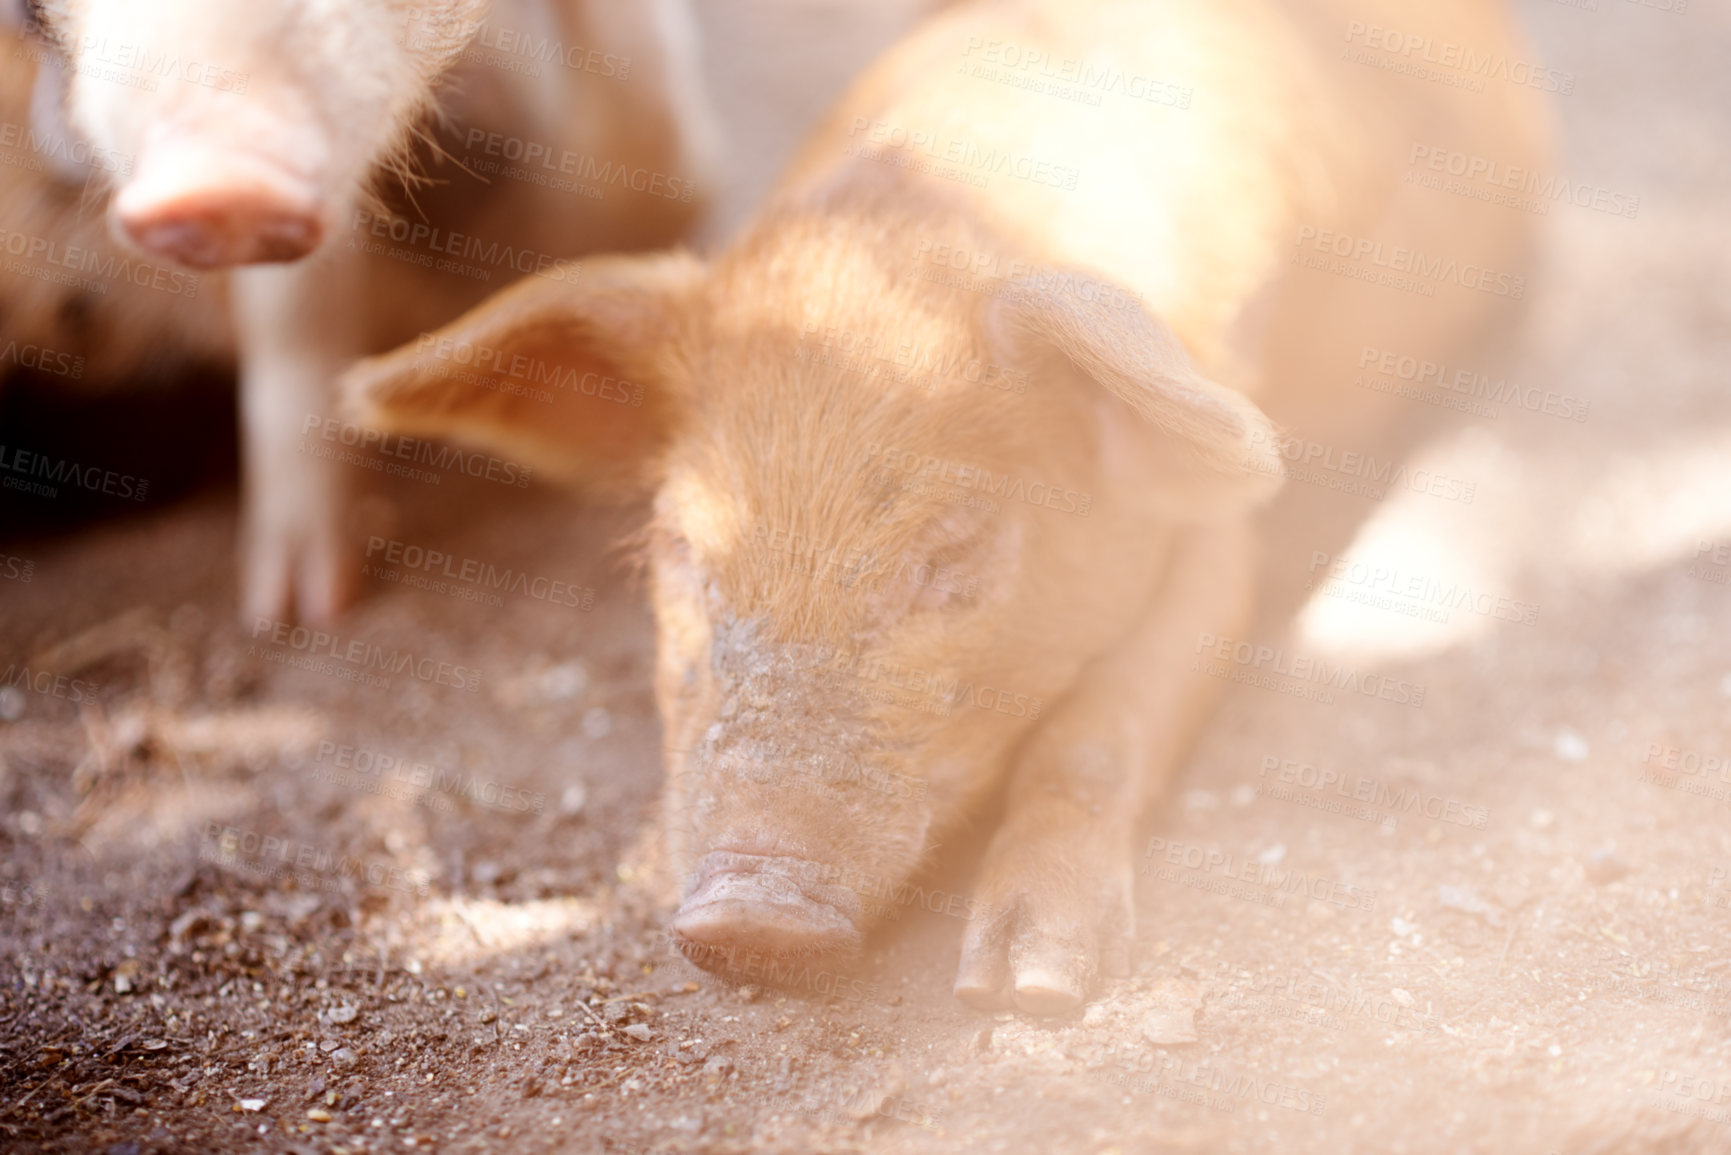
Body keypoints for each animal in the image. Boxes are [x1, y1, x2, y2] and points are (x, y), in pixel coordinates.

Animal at [342, 0, 1547, 1013]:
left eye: (954, 552)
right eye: (683, 548)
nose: (747, 914)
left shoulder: (1218, 518)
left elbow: (1100, 728)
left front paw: (1027, 988)